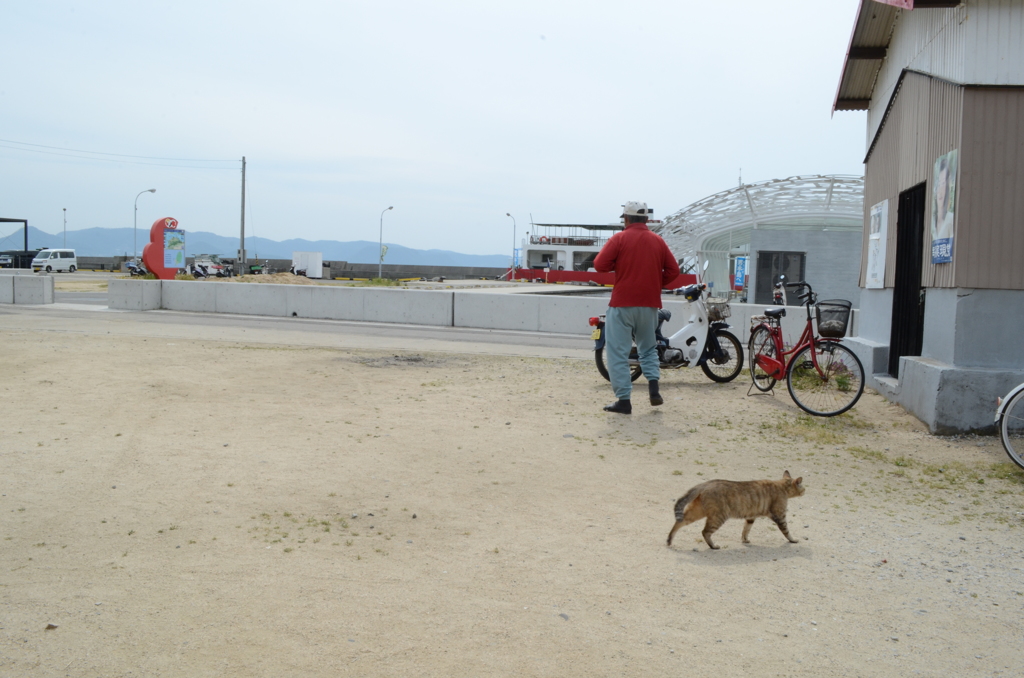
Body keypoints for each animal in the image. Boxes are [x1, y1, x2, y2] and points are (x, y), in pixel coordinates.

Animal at [667, 473, 802, 553]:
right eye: (803, 486)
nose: (805, 490)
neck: (782, 486)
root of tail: (705, 483)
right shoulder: (780, 515)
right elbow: (786, 531)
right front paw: (793, 539)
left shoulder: (750, 517)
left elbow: (746, 530)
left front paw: (745, 540)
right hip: (718, 517)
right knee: (705, 532)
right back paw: (713, 546)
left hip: (697, 511)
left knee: (679, 522)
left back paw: (669, 540)